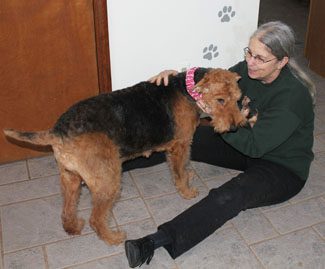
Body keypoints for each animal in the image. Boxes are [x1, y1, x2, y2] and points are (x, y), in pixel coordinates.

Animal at [3, 67, 246, 245]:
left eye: (237, 98)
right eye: (221, 100)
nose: (235, 127)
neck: (187, 90)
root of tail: (58, 131)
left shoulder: (181, 145)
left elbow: (182, 168)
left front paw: (188, 178)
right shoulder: (180, 144)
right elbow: (179, 171)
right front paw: (187, 191)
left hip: (70, 177)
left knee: (68, 209)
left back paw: (73, 227)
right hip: (108, 181)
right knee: (96, 218)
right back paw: (114, 238)